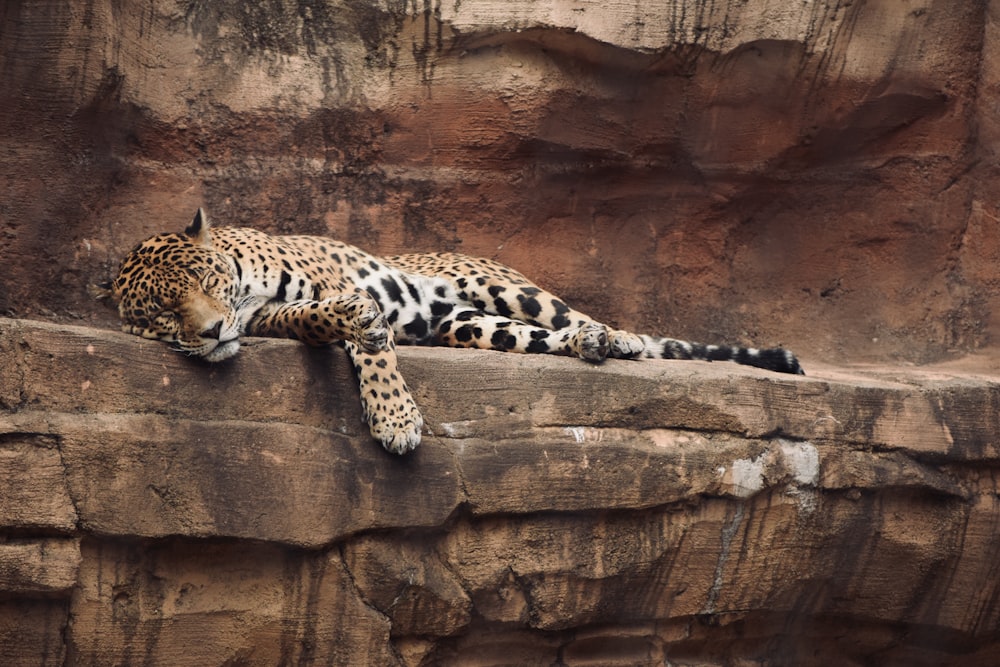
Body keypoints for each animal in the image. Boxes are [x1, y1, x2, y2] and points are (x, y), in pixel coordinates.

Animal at [97, 210, 804, 454]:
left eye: (203, 277)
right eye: (159, 314)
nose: (213, 329)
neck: (244, 289)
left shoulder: (326, 280)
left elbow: (373, 348)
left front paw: (395, 420)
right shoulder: (274, 318)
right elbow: (327, 319)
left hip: (502, 286)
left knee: (567, 313)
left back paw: (615, 337)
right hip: (469, 326)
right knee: (532, 337)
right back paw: (591, 347)